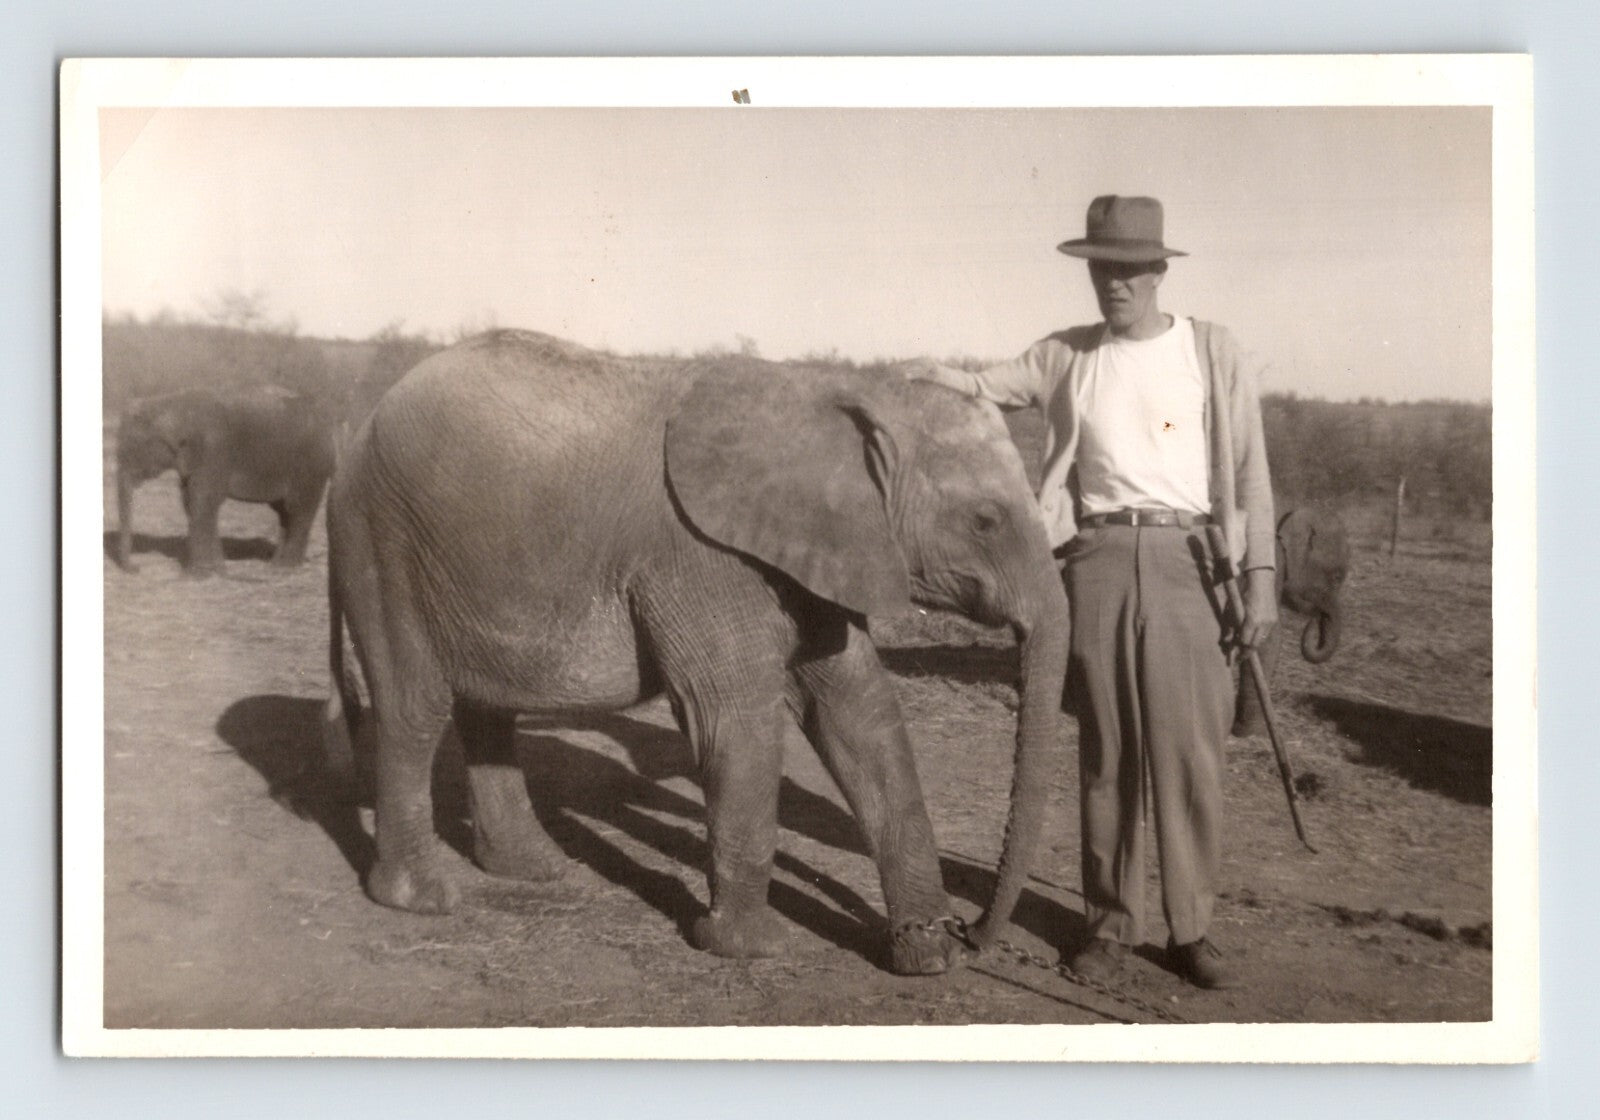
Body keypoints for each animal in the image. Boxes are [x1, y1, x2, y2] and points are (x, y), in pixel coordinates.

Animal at [113, 384, 341, 575]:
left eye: (133, 447)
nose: (137, 568)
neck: (173, 402)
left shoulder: (213, 451)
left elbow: (202, 501)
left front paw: (197, 574)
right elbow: (191, 502)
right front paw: (217, 569)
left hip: (311, 468)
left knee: (299, 510)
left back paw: (284, 568)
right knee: (284, 512)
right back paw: (276, 564)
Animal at [322, 330, 1071, 976]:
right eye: (985, 521)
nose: (978, 937)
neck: (835, 399)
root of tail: (356, 432)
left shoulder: (821, 550)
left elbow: (862, 715)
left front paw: (927, 957)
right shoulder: (701, 556)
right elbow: (735, 720)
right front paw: (751, 947)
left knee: (486, 707)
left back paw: (538, 869)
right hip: (384, 540)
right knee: (414, 708)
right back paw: (421, 898)